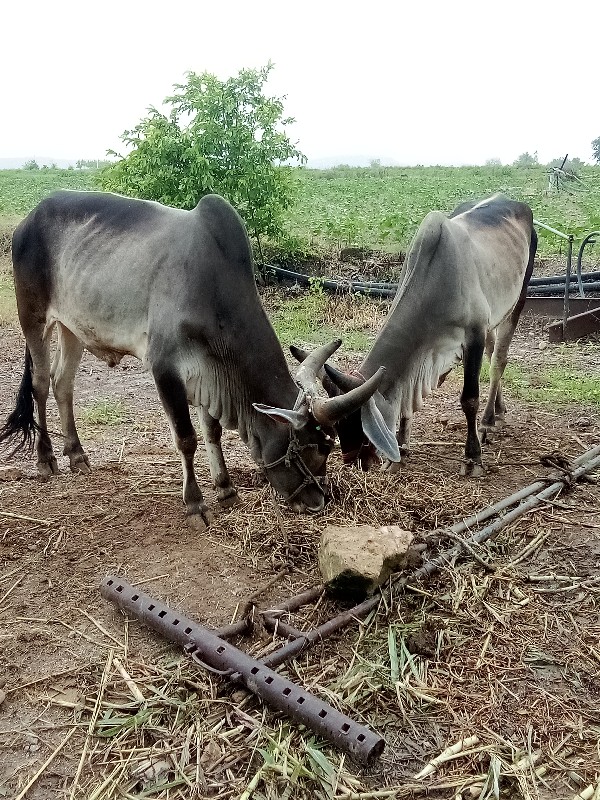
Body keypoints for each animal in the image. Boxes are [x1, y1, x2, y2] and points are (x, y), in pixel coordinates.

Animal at [0, 188, 394, 524]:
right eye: (311, 452)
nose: (316, 503)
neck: (213, 289)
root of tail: (29, 218)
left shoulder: (208, 373)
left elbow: (213, 431)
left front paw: (226, 490)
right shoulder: (165, 370)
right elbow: (187, 438)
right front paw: (195, 504)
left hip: (73, 328)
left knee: (62, 383)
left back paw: (77, 455)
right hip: (33, 317)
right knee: (40, 383)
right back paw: (46, 459)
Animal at [296, 195, 540, 476]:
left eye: (358, 422)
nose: (354, 460)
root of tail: (512, 201)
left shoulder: (474, 334)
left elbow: (469, 399)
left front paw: (473, 458)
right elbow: (407, 397)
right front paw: (399, 452)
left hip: (517, 300)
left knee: (498, 361)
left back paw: (488, 420)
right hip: (494, 316)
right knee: (493, 355)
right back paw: (498, 411)